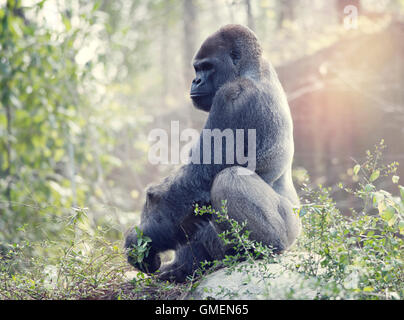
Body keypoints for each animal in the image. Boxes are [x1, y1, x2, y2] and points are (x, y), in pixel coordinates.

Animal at [125, 24, 300, 282]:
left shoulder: (233, 96)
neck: (250, 70)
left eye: (207, 67)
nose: (195, 80)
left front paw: (143, 240)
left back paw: (259, 248)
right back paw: (184, 267)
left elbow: (195, 181)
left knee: (230, 178)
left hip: (290, 230)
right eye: (197, 68)